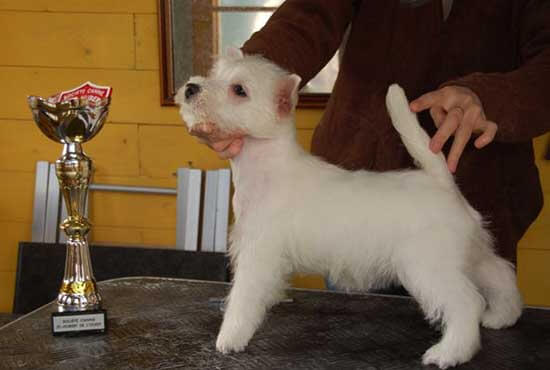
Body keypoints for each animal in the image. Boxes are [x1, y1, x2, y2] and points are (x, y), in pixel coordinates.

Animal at [176, 47, 520, 368]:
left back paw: (449, 352)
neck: (265, 166)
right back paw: (502, 316)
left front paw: (230, 337)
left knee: (466, 302)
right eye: (214, 74)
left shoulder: (257, 254)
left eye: (239, 90)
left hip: (429, 265)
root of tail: (441, 182)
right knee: (499, 273)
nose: (191, 87)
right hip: (467, 254)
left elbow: (243, 297)